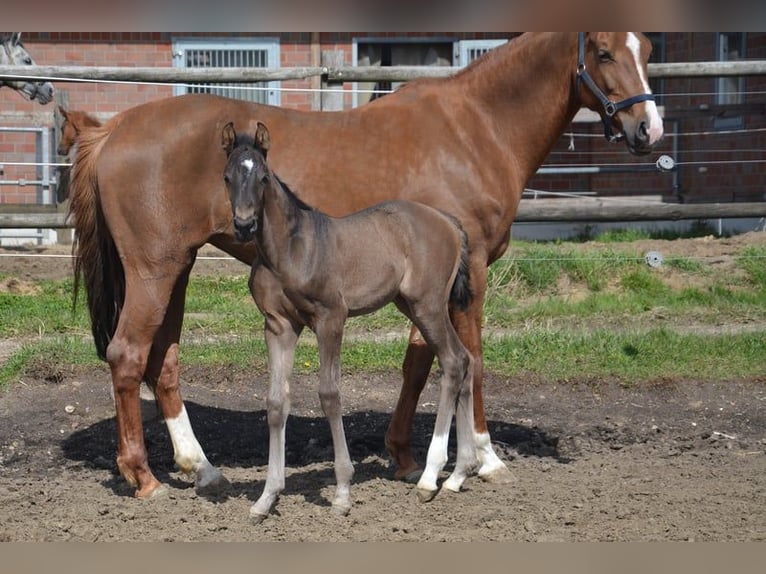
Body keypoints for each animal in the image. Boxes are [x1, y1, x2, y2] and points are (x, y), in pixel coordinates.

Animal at [220, 122, 480, 528]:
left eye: (262, 177)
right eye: (227, 177)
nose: (245, 226)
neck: (289, 249)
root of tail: (451, 223)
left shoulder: (331, 318)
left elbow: (329, 394)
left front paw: (342, 493)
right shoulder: (279, 326)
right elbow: (277, 401)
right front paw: (266, 498)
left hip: (429, 306)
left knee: (454, 362)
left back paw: (429, 478)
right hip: (414, 305)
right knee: (465, 360)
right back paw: (457, 475)